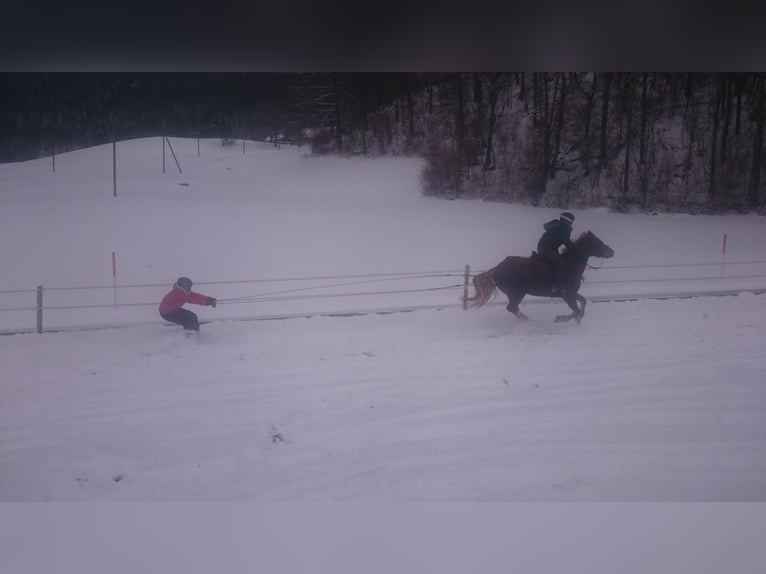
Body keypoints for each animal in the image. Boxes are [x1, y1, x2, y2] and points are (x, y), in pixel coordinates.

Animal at [464, 233, 616, 324]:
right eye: (597, 242)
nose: (612, 251)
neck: (570, 265)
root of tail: (497, 268)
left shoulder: (572, 293)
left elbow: (583, 302)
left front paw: (577, 318)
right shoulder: (567, 295)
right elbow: (576, 310)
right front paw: (561, 319)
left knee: (513, 308)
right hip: (517, 293)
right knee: (512, 308)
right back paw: (527, 321)